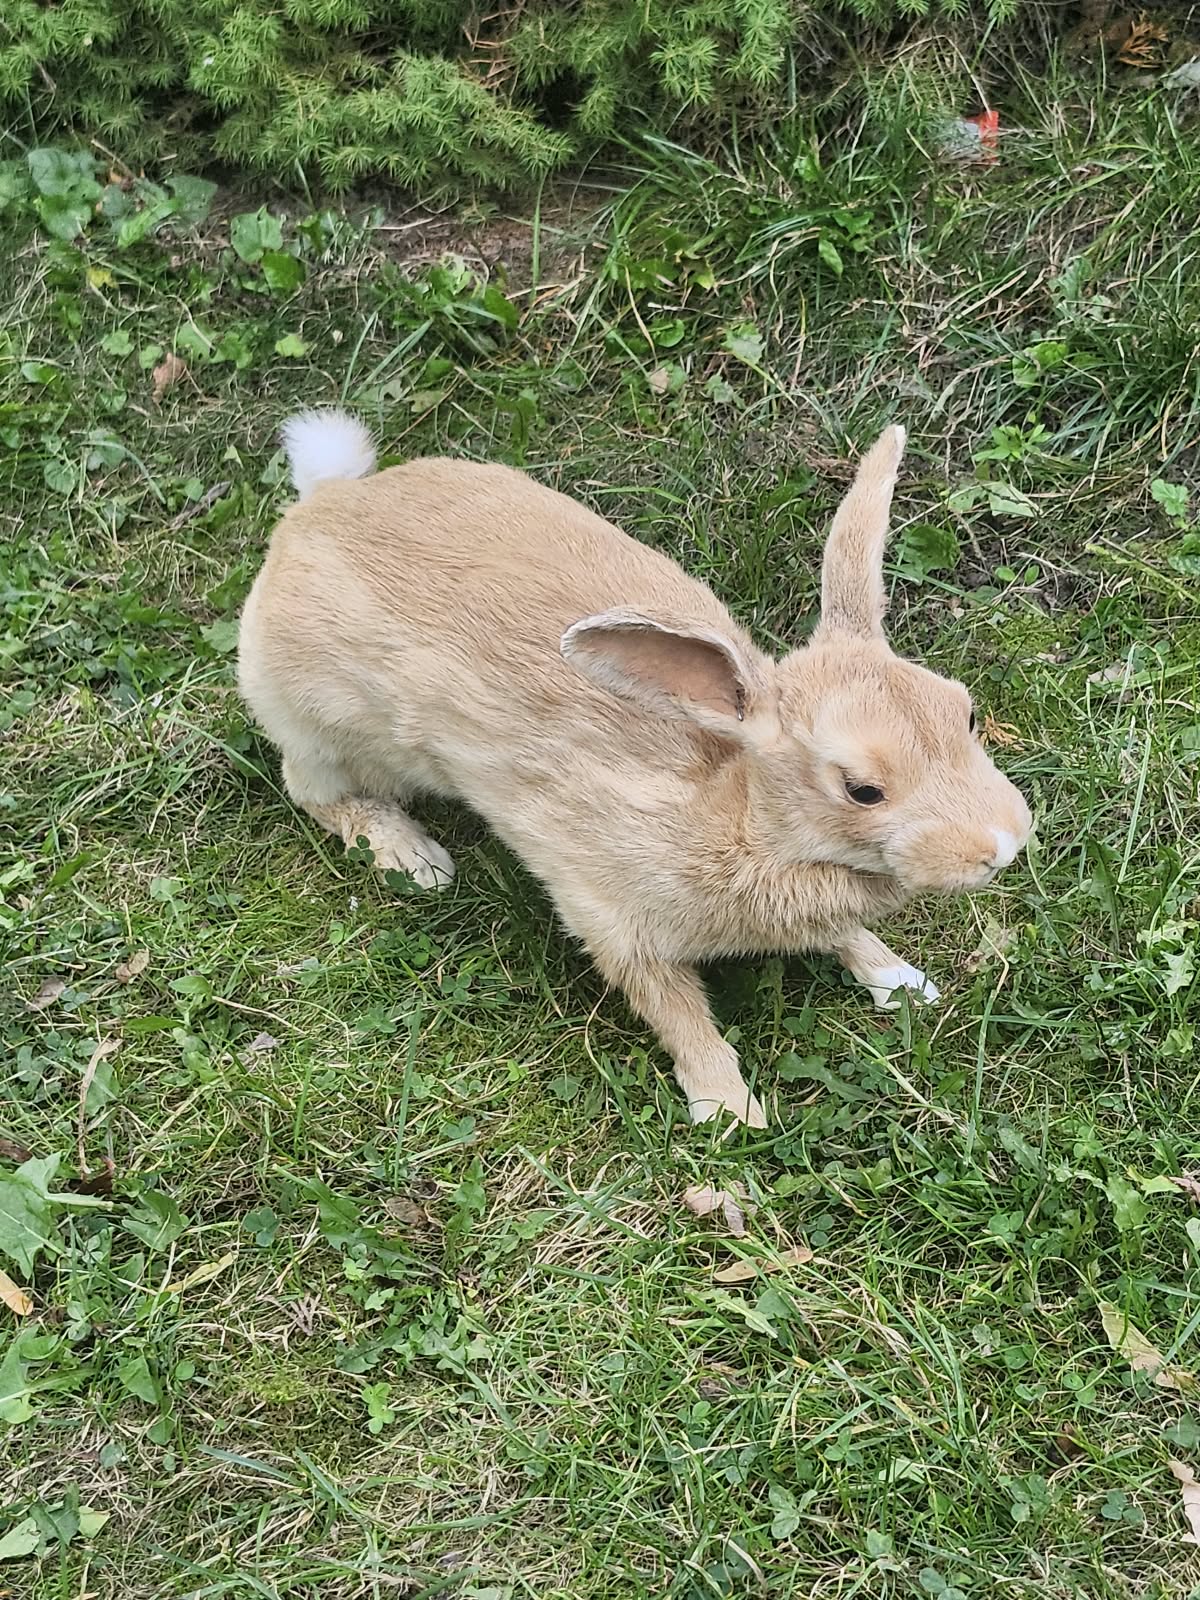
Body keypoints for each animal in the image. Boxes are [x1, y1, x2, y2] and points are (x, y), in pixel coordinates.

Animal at [237, 411, 1032, 1129]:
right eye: (862, 789)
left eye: (963, 713)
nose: (1003, 844)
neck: (740, 822)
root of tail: (318, 506)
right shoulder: (615, 923)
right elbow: (677, 1014)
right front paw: (729, 1111)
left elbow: (846, 937)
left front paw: (903, 982)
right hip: (327, 731)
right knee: (314, 792)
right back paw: (415, 858)